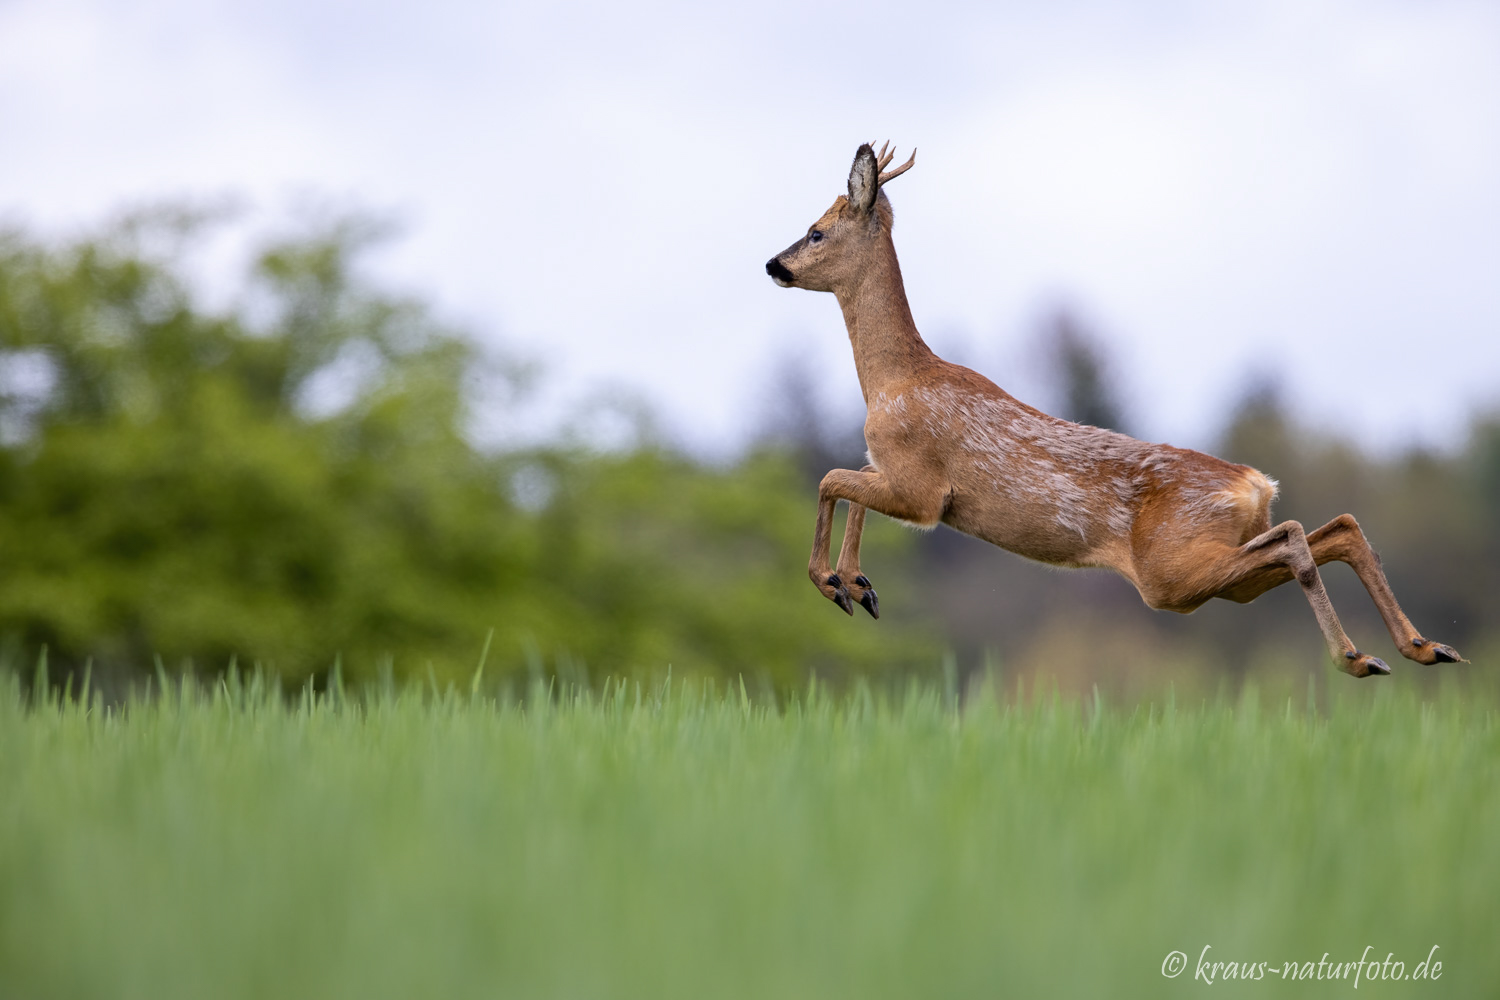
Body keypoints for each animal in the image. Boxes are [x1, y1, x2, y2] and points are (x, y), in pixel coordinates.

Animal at [768, 140, 1458, 680]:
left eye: (817, 231)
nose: (773, 263)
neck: (894, 380)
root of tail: (1253, 482)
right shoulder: (894, 474)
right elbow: (850, 483)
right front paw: (858, 585)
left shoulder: (923, 491)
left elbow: (831, 478)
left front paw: (831, 583)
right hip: (1215, 575)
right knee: (1335, 528)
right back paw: (1422, 647)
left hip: (1170, 572)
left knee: (1294, 539)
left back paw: (1360, 657)